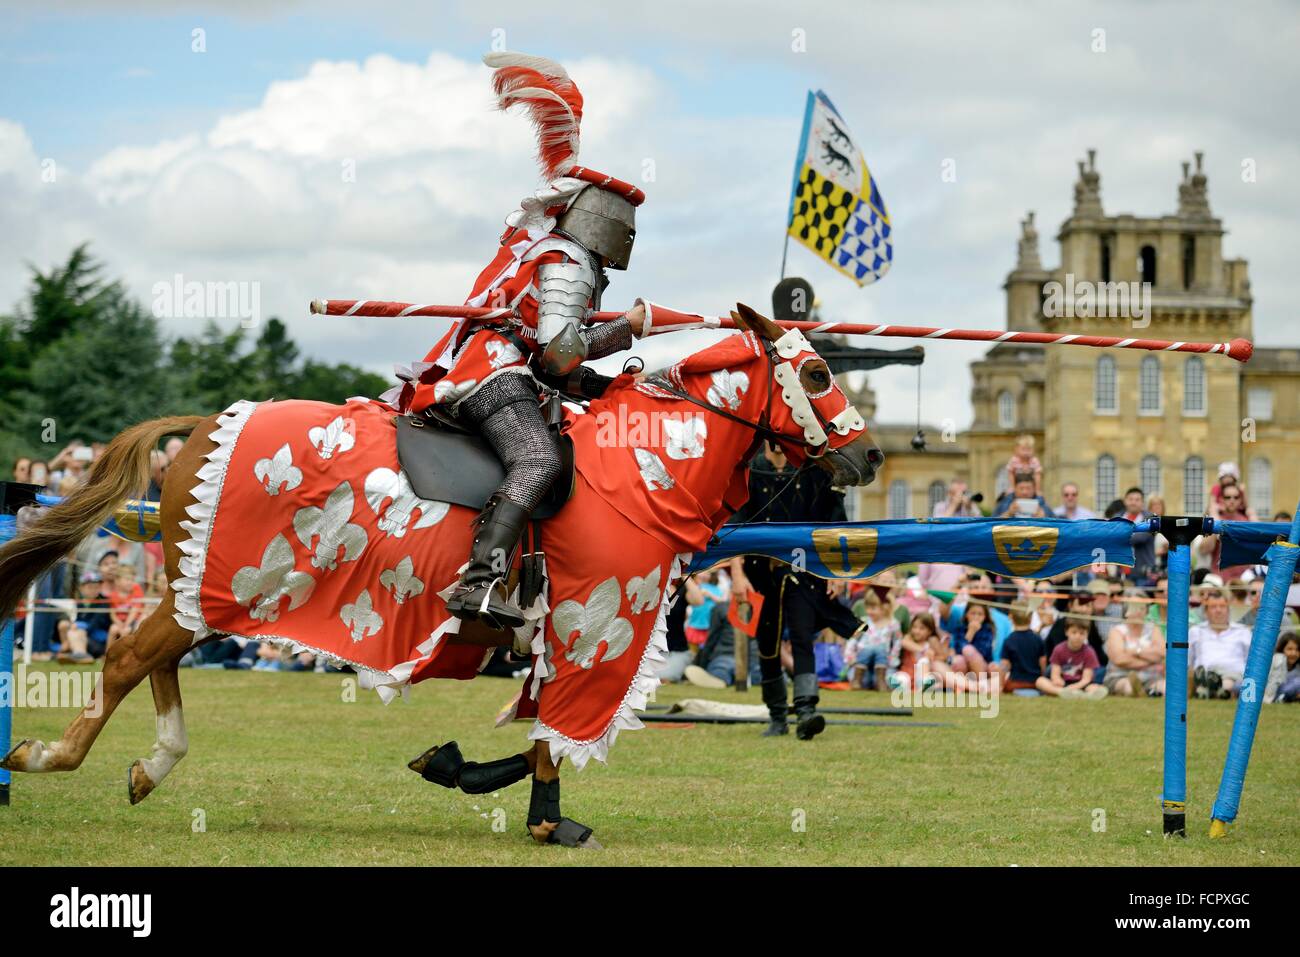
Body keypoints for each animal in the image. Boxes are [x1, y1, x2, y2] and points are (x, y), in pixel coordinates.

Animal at [0, 304, 878, 842]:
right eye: (818, 374)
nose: (869, 456)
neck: (640, 469)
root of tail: (206, 423)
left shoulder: (561, 642)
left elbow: (535, 738)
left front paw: (460, 770)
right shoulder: (592, 633)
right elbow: (555, 735)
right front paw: (544, 817)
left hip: (204, 590)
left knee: (156, 659)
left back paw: (151, 765)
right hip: (226, 587)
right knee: (126, 656)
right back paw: (47, 758)